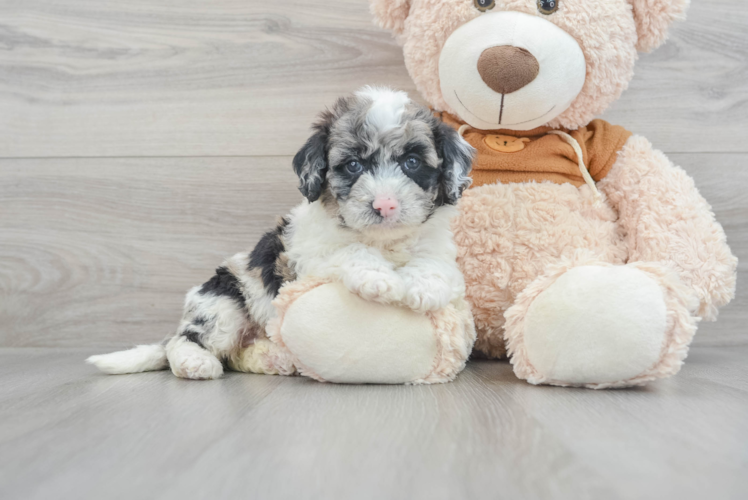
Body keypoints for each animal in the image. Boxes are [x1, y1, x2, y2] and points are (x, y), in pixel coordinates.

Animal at [89, 88, 474, 380]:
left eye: (412, 162)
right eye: (353, 165)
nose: (385, 205)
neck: (382, 242)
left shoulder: (438, 248)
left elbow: (435, 264)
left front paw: (424, 288)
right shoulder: (305, 257)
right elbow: (348, 251)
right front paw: (377, 279)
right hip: (223, 303)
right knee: (183, 341)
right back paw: (196, 362)